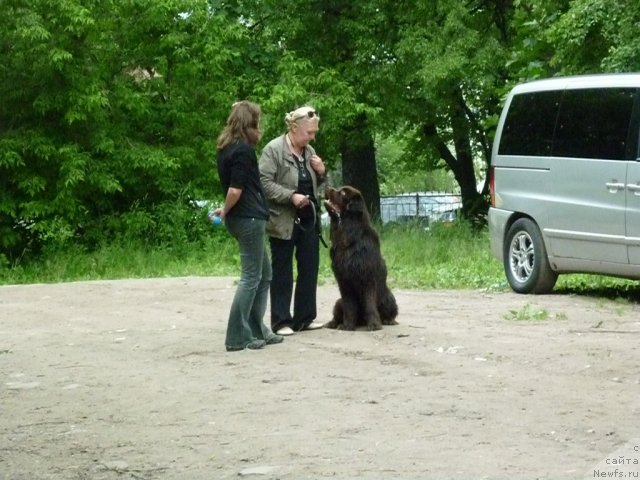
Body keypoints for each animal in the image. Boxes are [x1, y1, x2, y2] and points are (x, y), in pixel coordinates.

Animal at [322, 186, 398, 332]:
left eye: (342, 193)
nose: (327, 187)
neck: (349, 240)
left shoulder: (367, 278)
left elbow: (369, 305)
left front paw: (374, 324)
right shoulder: (343, 281)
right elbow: (349, 307)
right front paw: (347, 325)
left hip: (388, 298)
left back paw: (388, 320)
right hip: (338, 302)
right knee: (338, 311)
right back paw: (332, 323)